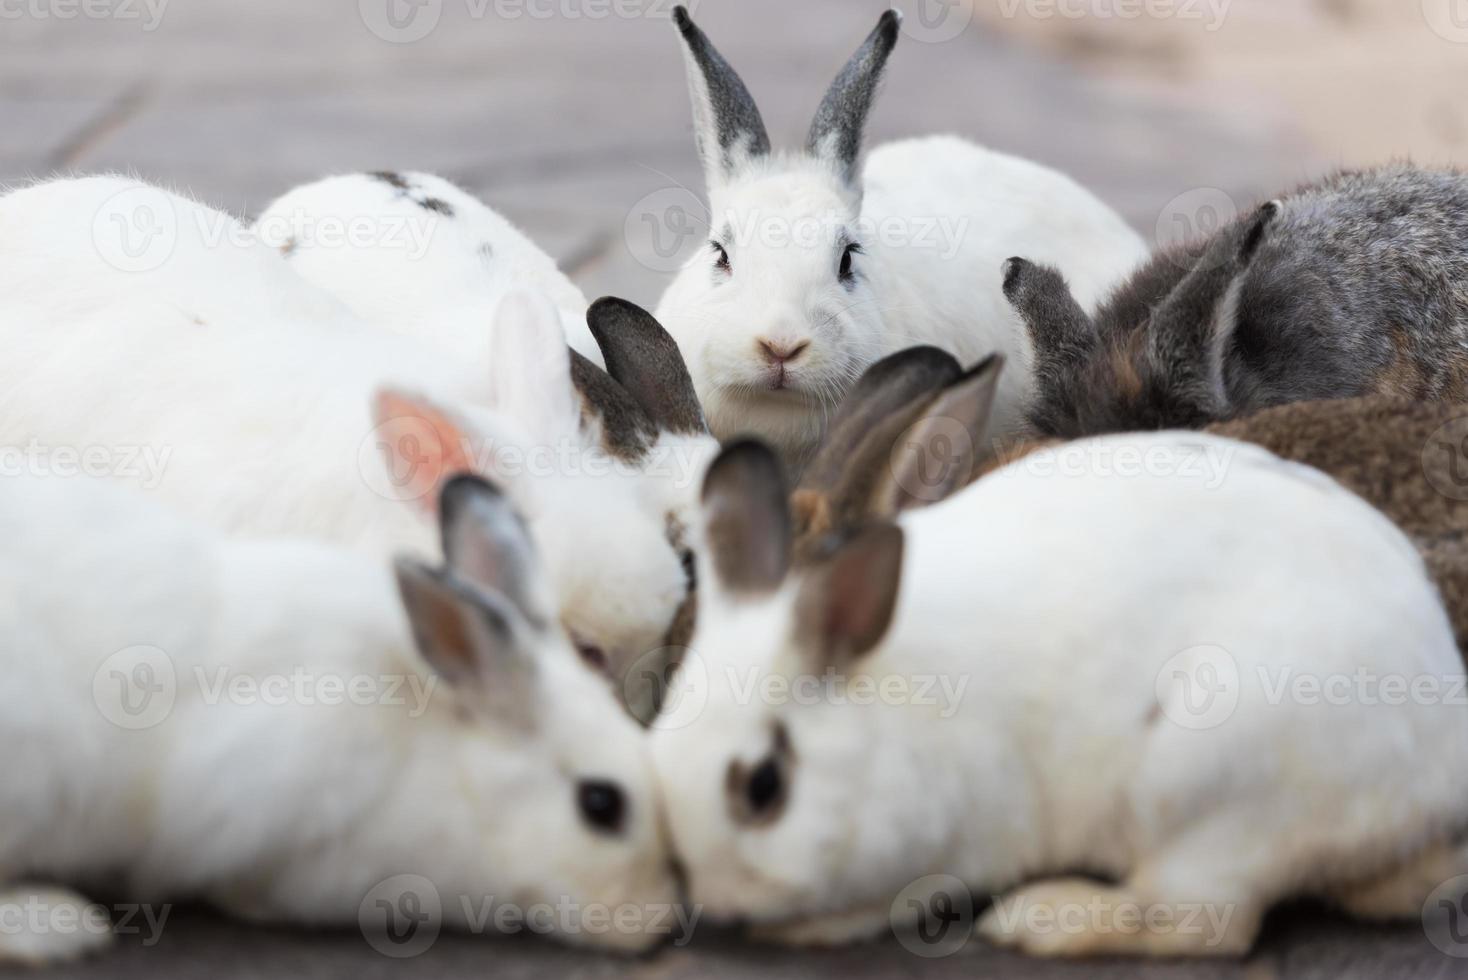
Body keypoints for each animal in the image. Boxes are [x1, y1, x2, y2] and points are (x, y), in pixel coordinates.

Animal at [660, 425, 1468, 950]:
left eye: (764, 786)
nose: (715, 906)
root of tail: (1437, 777)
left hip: (1211, 794)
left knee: (1203, 924)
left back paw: (1037, 921)